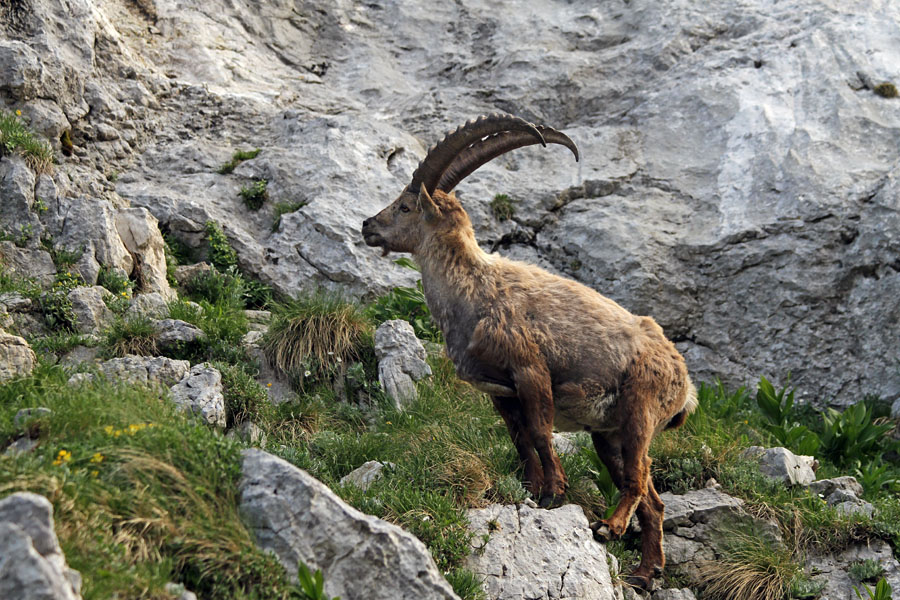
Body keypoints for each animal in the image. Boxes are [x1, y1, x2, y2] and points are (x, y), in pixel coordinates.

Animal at [361, 114, 697, 589]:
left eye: (407, 206)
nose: (367, 226)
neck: (474, 291)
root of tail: (684, 381)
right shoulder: (499, 391)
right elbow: (519, 440)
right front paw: (534, 489)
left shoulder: (530, 370)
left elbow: (540, 431)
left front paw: (555, 490)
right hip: (607, 434)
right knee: (653, 499)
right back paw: (646, 572)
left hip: (640, 410)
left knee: (637, 479)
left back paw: (609, 528)